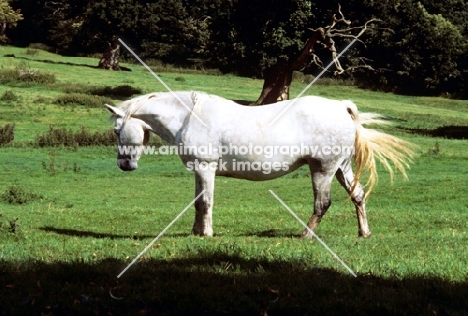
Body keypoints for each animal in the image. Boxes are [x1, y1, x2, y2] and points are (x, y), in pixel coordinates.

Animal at [105, 90, 414, 237]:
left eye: (117, 130)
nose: (124, 164)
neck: (190, 116)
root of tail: (341, 107)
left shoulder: (206, 167)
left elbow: (205, 202)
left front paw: (206, 233)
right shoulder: (199, 170)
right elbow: (197, 202)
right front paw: (195, 232)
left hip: (322, 170)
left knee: (322, 203)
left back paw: (305, 235)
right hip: (341, 168)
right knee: (358, 196)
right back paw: (364, 233)